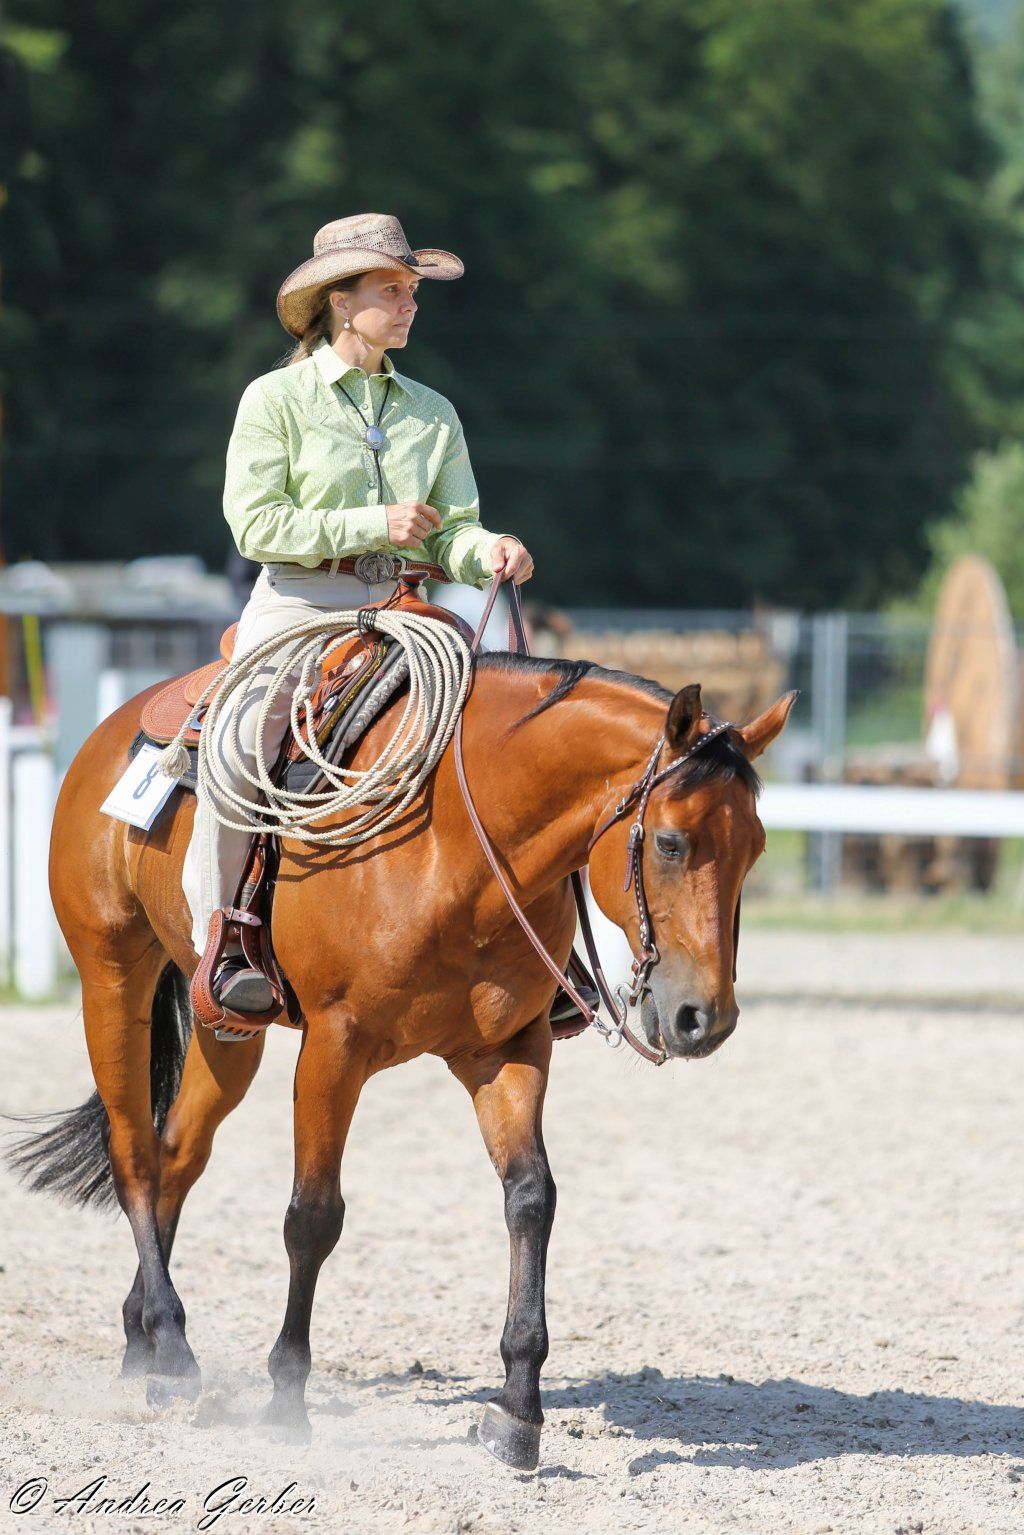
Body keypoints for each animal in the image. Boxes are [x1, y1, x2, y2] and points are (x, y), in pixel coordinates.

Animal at [8, 639, 795, 1469]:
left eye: (754, 848)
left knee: (177, 1154)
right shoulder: (336, 1045)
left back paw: (146, 1343)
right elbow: (313, 1216)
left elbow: (531, 1199)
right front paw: (286, 1400)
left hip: (227, 1030)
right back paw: (172, 1346)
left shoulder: (509, 1050)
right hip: (111, 977)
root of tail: (111, 730)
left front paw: (518, 1409)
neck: (455, 847)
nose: (703, 1018)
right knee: (133, 1152)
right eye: (672, 842)